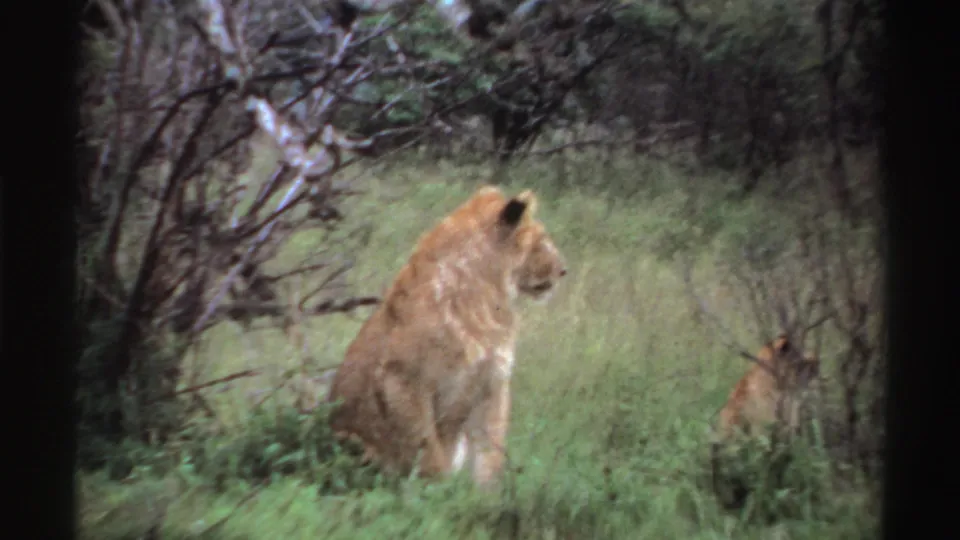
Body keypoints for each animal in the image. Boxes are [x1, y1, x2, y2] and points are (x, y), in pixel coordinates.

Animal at [327, 185, 567, 487]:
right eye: (541, 240)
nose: (563, 270)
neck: (486, 297)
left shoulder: (493, 383)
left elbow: (490, 453)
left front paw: (484, 495)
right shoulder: (402, 380)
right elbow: (428, 451)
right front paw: (438, 492)